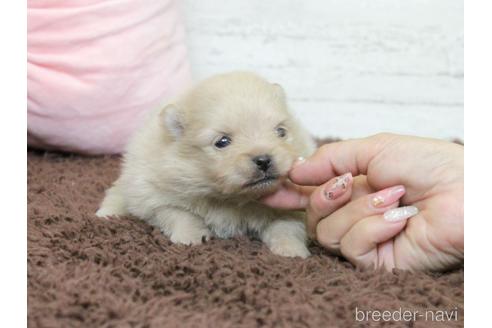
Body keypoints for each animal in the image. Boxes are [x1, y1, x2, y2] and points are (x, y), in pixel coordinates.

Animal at [97, 72, 316, 258]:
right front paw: (191, 237)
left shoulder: (291, 209)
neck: (231, 199)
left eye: (281, 131)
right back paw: (107, 214)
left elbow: (287, 225)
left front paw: (291, 250)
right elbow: (177, 213)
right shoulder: (154, 195)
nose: (263, 160)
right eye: (222, 142)